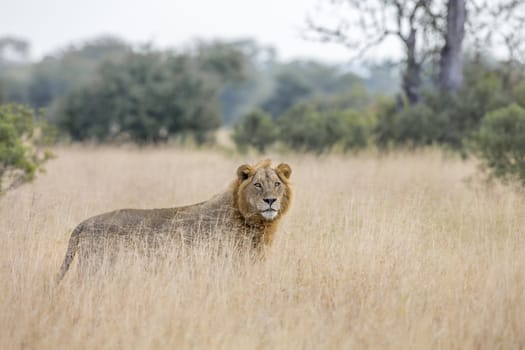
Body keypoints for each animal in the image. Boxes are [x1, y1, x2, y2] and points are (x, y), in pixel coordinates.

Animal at [55, 161, 292, 282]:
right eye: (258, 185)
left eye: (277, 184)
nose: (270, 201)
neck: (256, 224)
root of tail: (84, 223)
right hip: (94, 269)